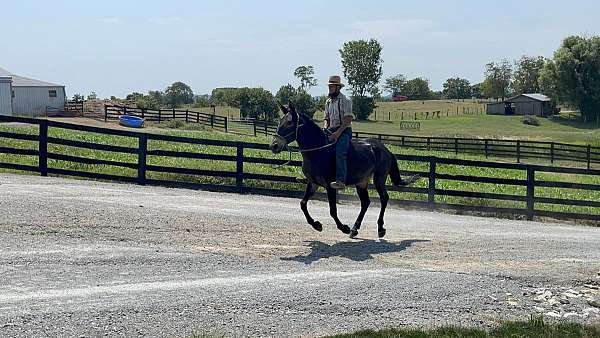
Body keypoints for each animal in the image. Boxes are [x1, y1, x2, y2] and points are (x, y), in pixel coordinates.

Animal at [272, 103, 418, 238]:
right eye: (280, 121)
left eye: (289, 122)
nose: (274, 145)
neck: (319, 151)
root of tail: (385, 149)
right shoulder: (312, 183)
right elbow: (302, 204)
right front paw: (317, 225)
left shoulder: (330, 186)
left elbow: (332, 210)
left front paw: (343, 228)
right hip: (361, 182)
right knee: (365, 202)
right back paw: (354, 229)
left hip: (379, 178)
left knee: (384, 198)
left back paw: (380, 229)